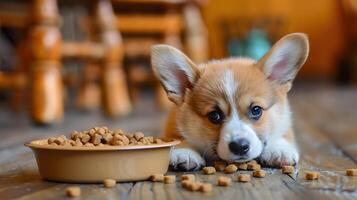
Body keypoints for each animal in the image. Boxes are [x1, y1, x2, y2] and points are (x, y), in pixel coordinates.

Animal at [150, 32, 308, 170]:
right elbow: (177, 137)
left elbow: (282, 134)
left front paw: (279, 150)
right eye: (214, 115)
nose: (239, 147)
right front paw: (184, 152)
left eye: (256, 110)